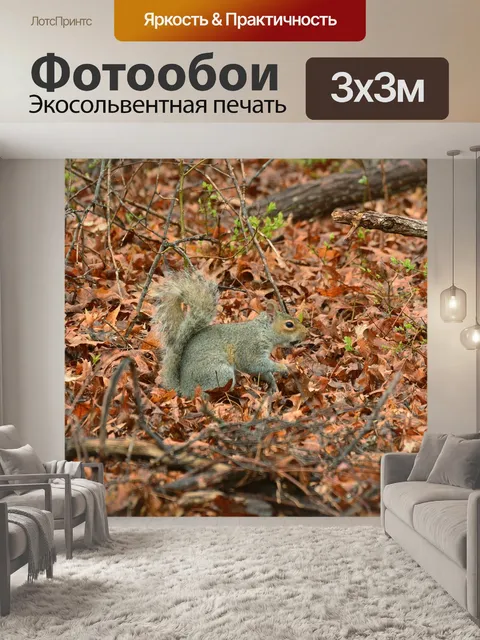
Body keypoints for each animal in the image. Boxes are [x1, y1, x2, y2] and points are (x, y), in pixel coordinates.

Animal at [154, 270, 308, 398]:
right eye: (289, 324)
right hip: (218, 372)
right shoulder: (250, 348)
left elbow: (262, 371)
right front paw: (282, 367)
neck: (263, 331)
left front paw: (273, 384)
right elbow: (254, 364)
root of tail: (184, 389)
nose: (306, 333)